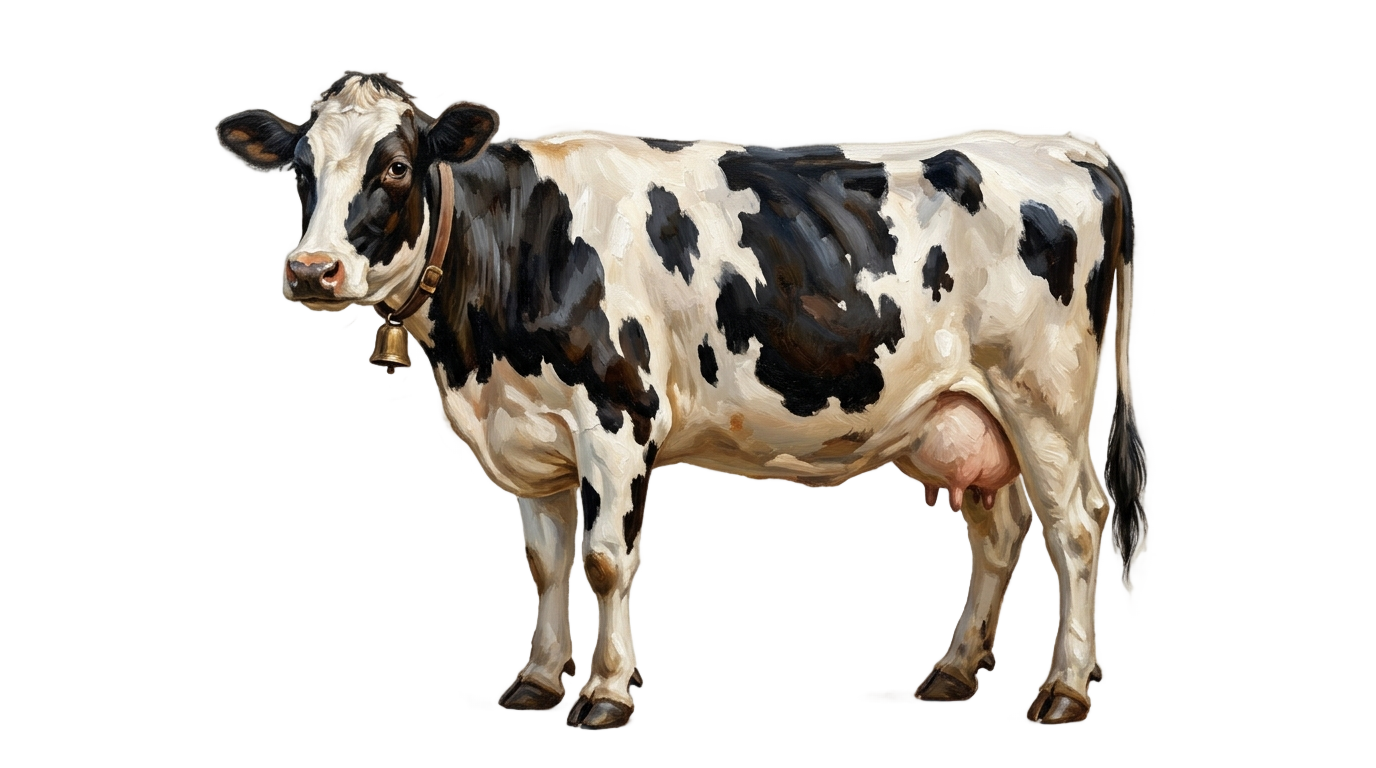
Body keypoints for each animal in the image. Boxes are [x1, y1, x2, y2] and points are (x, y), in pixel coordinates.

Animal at [218, 72, 1145, 729]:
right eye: (300, 171)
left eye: (397, 166)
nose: (311, 271)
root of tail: (1072, 154)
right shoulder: (527, 437)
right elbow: (540, 565)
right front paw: (535, 679)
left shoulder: (619, 420)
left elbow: (603, 561)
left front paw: (605, 692)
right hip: (969, 415)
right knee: (998, 532)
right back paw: (956, 669)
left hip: (1047, 398)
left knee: (1074, 528)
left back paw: (1066, 688)